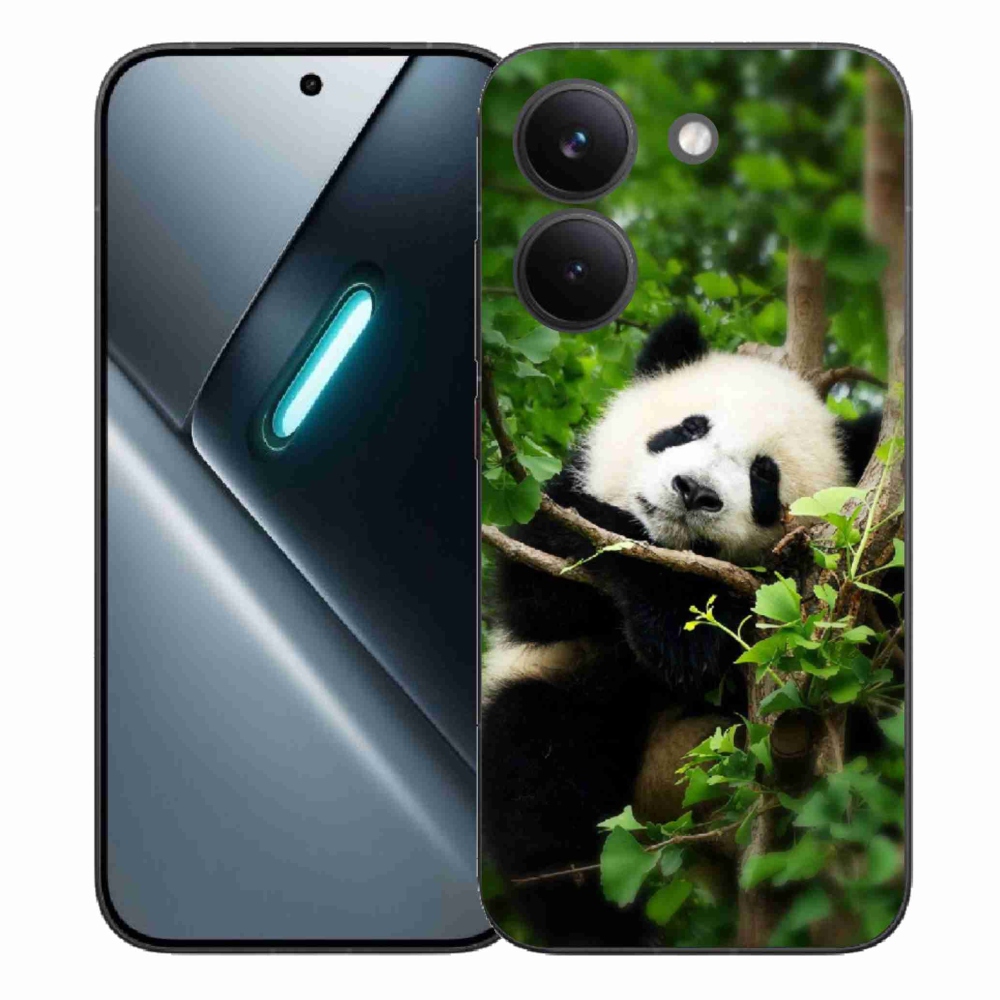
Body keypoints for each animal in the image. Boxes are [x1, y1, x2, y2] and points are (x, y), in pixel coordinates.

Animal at [480, 314, 880, 947]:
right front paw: (683, 629)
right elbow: (545, 587)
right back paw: (595, 925)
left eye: (764, 476)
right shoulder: (550, 518)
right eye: (688, 427)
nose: (694, 491)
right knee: (541, 776)